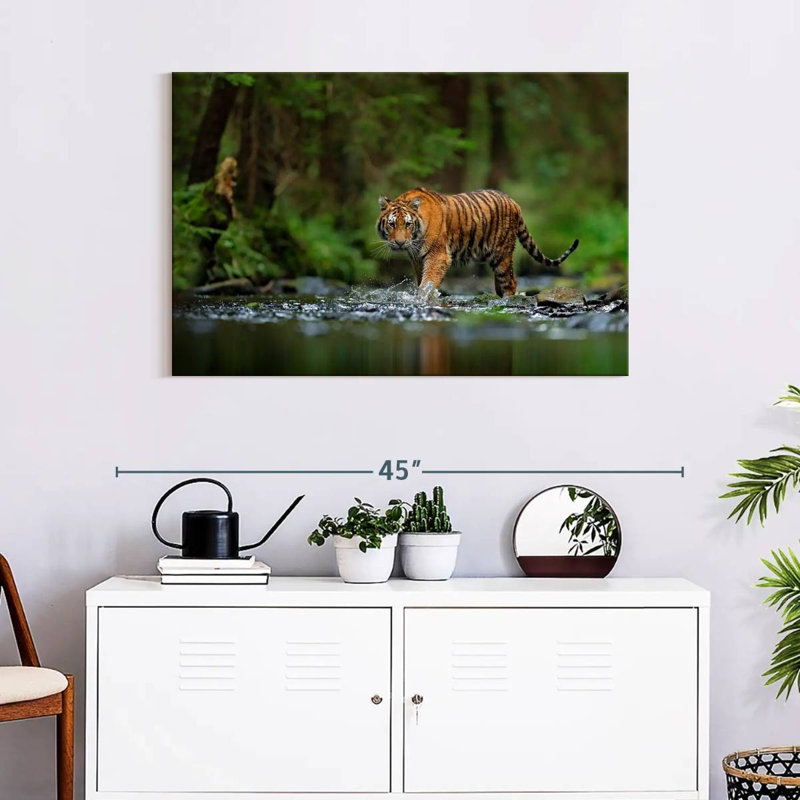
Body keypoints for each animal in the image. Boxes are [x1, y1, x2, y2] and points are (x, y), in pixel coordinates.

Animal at [376, 187, 579, 297]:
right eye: (392, 224)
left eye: (408, 224)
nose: (400, 243)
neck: (416, 239)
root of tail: (514, 202)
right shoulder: (417, 259)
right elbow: (422, 280)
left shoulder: (438, 256)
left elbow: (428, 282)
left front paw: (423, 298)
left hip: (502, 255)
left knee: (510, 282)